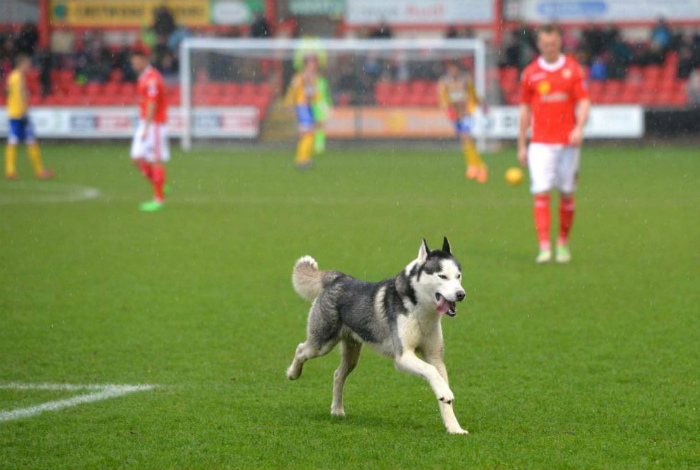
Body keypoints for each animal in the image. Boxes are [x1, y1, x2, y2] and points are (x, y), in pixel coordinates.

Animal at [288, 237, 468, 436]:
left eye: (458, 276)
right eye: (442, 276)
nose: (461, 294)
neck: (421, 311)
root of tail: (338, 278)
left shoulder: (435, 356)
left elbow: (442, 389)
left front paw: (454, 427)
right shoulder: (403, 357)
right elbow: (430, 371)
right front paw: (446, 394)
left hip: (352, 353)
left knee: (338, 374)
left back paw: (337, 410)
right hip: (321, 343)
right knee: (300, 349)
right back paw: (293, 374)